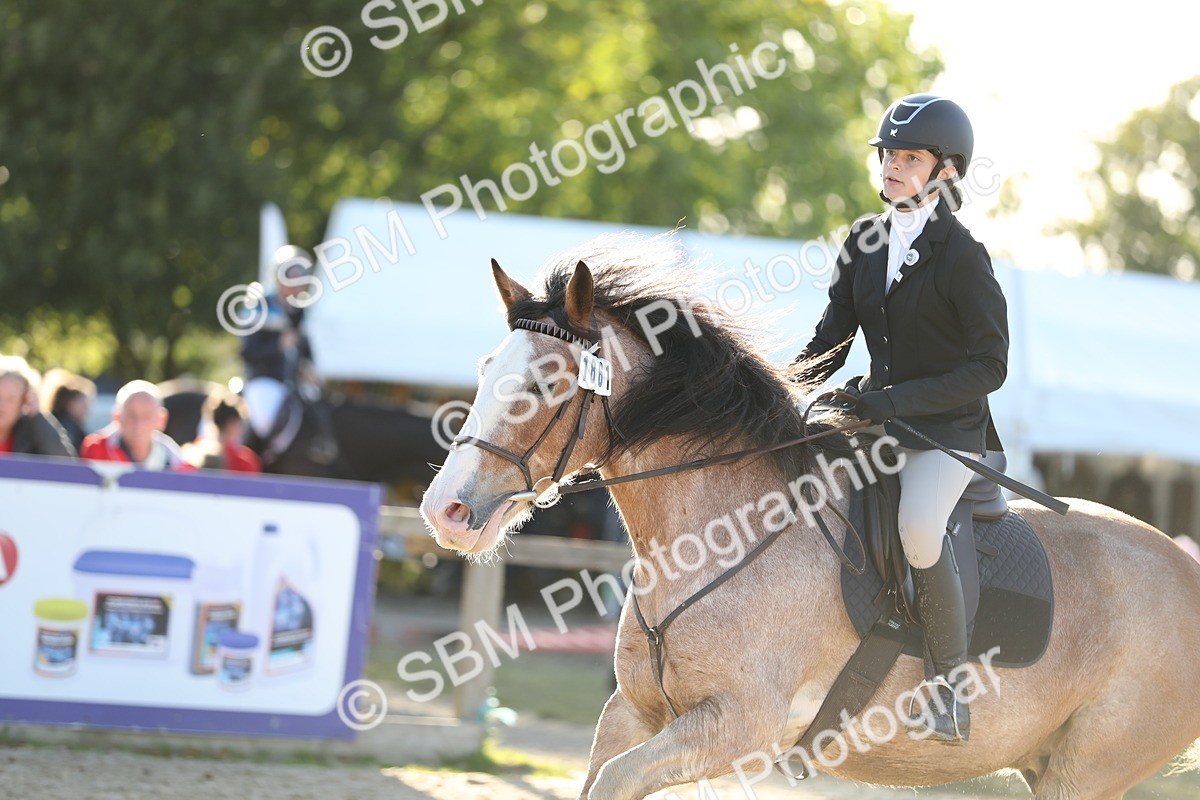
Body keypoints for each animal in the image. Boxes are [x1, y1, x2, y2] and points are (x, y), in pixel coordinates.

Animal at [419, 233, 1200, 800]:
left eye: (544, 383)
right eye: (487, 369)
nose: (444, 511)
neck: (714, 533)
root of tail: (1184, 566)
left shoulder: (738, 726)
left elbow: (613, 783)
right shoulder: (636, 714)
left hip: (1088, 772)